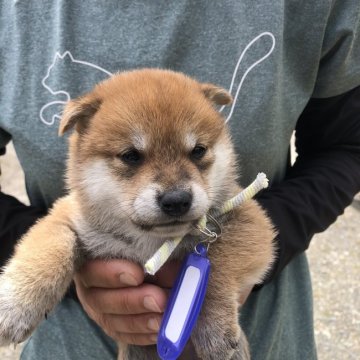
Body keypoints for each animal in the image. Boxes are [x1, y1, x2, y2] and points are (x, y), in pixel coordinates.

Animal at [0, 69, 276, 358]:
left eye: (198, 151)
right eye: (131, 156)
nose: (176, 200)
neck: (151, 242)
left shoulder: (250, 221)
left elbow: (219, 265)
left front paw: (214, 328)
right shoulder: (65, 217)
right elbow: (50, 250)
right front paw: (16, 306)